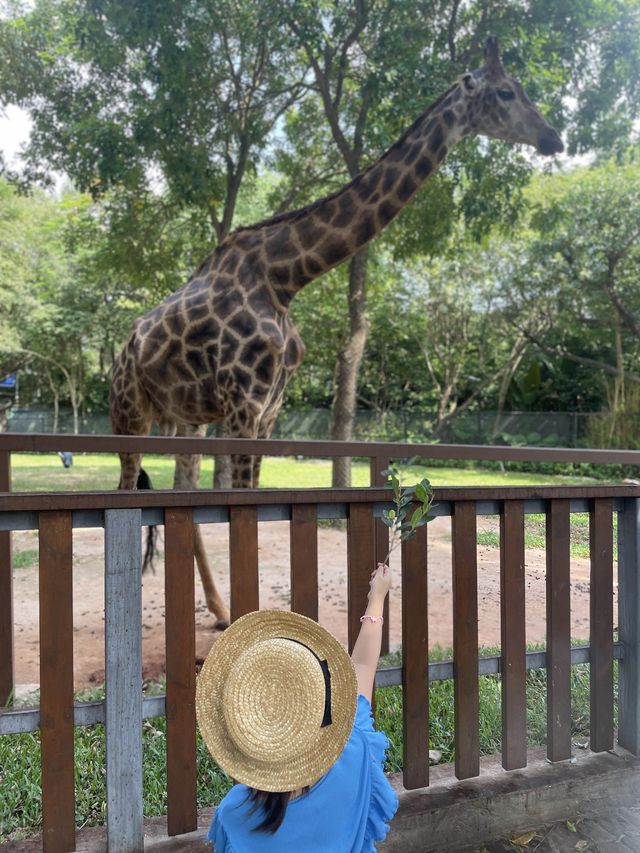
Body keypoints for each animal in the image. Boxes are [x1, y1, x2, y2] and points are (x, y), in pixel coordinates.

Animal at [111, 38, 564, 624]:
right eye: (507, 91)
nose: (554, 138)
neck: (286, 277)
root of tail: (123, 350)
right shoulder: (245, 405)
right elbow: (240, 515)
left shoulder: (268, 410)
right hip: (129, 412)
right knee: (125, 490)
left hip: (185, 419)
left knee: (177, 499)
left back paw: (217, 607)